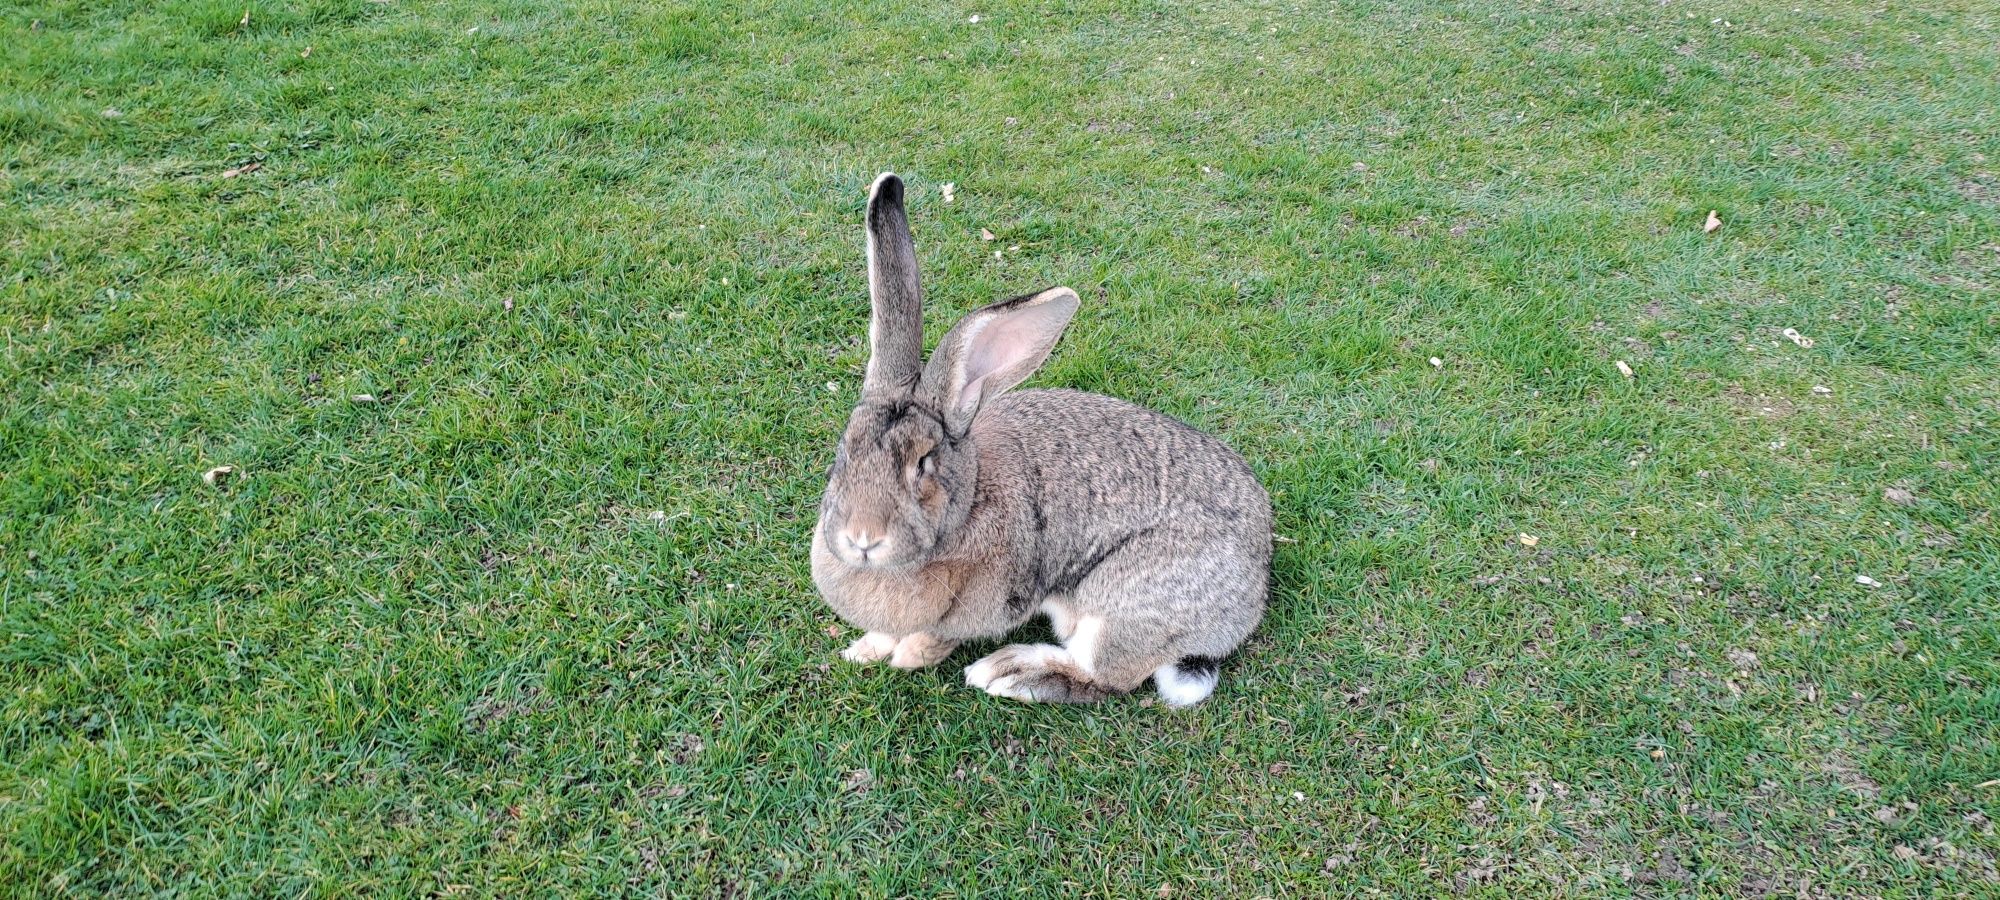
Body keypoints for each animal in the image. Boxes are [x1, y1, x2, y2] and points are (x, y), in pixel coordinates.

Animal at [808, 172, 1264, 708]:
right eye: (844, 452)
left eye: (923, 462)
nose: (862, 537)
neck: (967, 502)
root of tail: (1256, 588)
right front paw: (864, 650)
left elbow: (940, 635)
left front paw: (911, 656)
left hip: (1122, 605)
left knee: (1106, 675)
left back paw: (1010, 672)